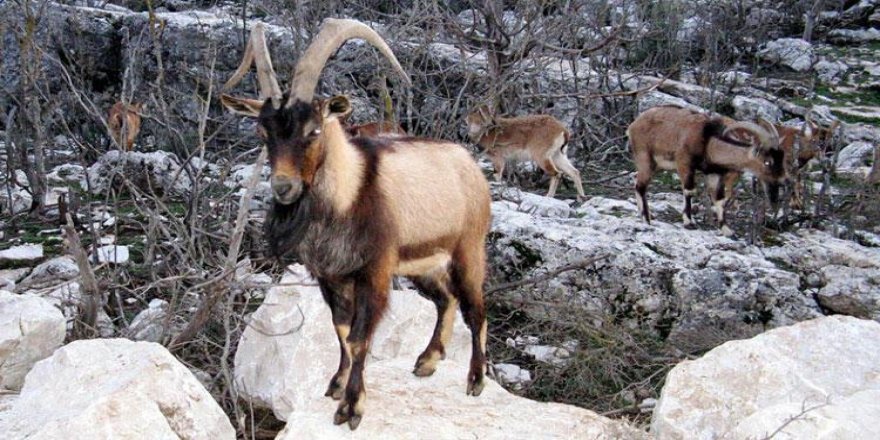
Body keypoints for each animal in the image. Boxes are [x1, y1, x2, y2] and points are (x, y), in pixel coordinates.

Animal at [220, 19, 492, 430]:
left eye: (314, 130)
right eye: (262, 132)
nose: (284, 187)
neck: (349, 193)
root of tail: (470, 166)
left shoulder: (374, 272)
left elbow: (361, 338)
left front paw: (351, 408)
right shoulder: (330, 276)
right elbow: (342, 331)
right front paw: (336, 384)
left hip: (467, 250)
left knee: (475, 306)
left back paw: (475, 379)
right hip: (422, 263)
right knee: (446, 299)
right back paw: (427, 361)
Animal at [628, 106, 788, 235]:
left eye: (781, 158)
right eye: (767, 161)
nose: (783, 179)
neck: (708, 141)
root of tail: (633, 126)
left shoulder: (713, 173)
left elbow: (719, 199)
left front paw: (727, 230)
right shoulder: (685, 163)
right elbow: (689, 190)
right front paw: (689, 222)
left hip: (657, 165)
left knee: (637, 181)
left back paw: (644, 214)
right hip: (645, 157)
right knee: (641, 186)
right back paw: (646, 219)